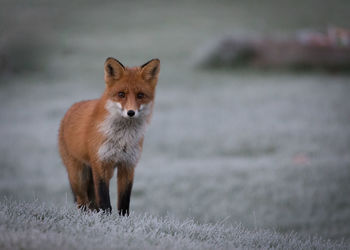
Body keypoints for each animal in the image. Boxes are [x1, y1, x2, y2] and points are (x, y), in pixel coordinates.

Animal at [58, 57, 160, 215]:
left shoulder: (128, 165)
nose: (131, 112)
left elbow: (124, 202)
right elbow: (104, 201)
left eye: (140, 95)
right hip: (78, 176)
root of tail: (71, 109)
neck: (122, 139)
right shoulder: (100, 164)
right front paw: (105, 218)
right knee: (82, 202)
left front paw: (123, 219)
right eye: (121, 94)